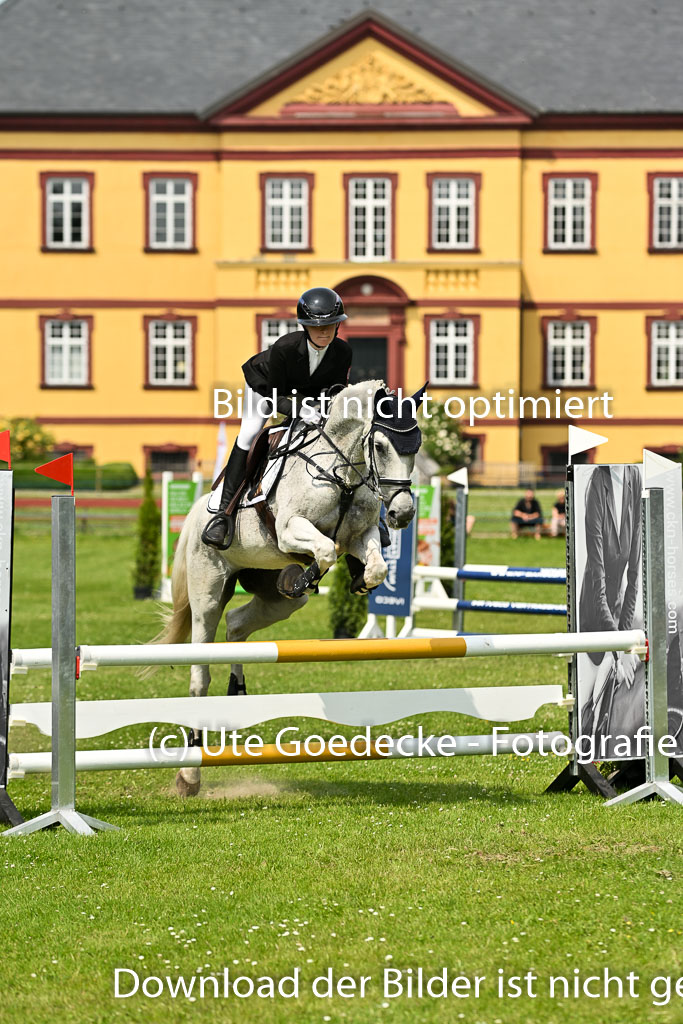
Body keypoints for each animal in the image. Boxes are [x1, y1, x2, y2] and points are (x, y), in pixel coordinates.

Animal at [150, 380, 422, 796]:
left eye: (417, 446)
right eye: (379, 446)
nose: (402, 514)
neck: (342, 474)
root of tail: (197, 513)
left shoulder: (360, 536)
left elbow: (374, 567)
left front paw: (352, 578)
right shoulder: (291, 529)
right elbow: (324, 549)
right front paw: (304, 576)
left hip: (276, 602)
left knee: (237, 624)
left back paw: (238, 687)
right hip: (207, 589)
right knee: (200, 672)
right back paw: (188, 777)